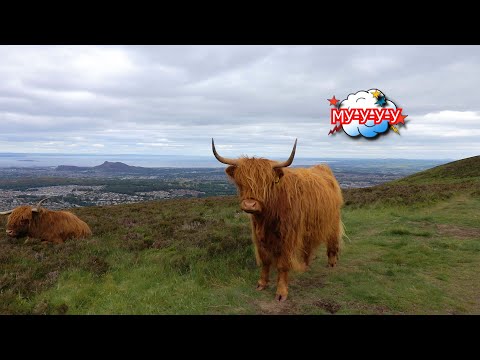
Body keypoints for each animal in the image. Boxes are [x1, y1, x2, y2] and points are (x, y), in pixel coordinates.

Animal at [212, 139, 344, 302]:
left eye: (266, 183)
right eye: (240, 182)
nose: (249, 204)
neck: (266, 218)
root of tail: (323, 168)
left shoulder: (288, 237)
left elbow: (283, 264)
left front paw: (281, 292)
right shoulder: (259, 237)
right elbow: (265, 260)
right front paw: (262, 283)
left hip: (333, 219)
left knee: (332, 240)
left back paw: (332, 262)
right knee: (307, 245)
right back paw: (305, 266)